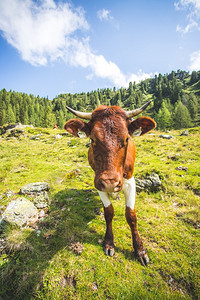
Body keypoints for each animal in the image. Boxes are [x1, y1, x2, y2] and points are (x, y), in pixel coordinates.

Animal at [64, 102, 156, 266]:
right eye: (92, 140)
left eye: (126, 139)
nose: (110, 183)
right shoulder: (99, 183)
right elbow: (108, 212)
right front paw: (109, 243)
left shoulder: (130, 181)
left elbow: (131, 216)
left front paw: (140, 250)